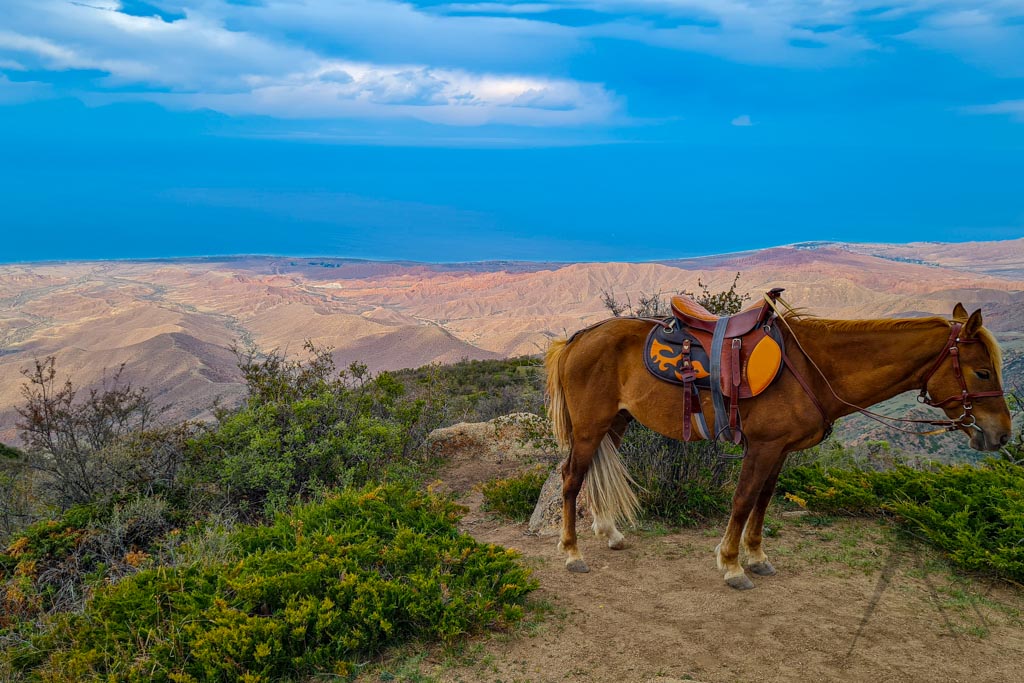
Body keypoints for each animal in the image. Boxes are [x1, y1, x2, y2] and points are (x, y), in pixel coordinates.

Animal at [548, 301, 1011, 589]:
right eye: (983, 372)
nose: (1002, 434)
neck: (812, 368)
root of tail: (578, 338)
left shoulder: (780, 451)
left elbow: (763, 501)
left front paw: (755, 556)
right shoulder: (762, 447)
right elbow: (742, 500)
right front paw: (731, 564)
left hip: (614, 424)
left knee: (593, 474)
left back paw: (610, 532)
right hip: (589, 428)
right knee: (571, 478)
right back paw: (571, 552)